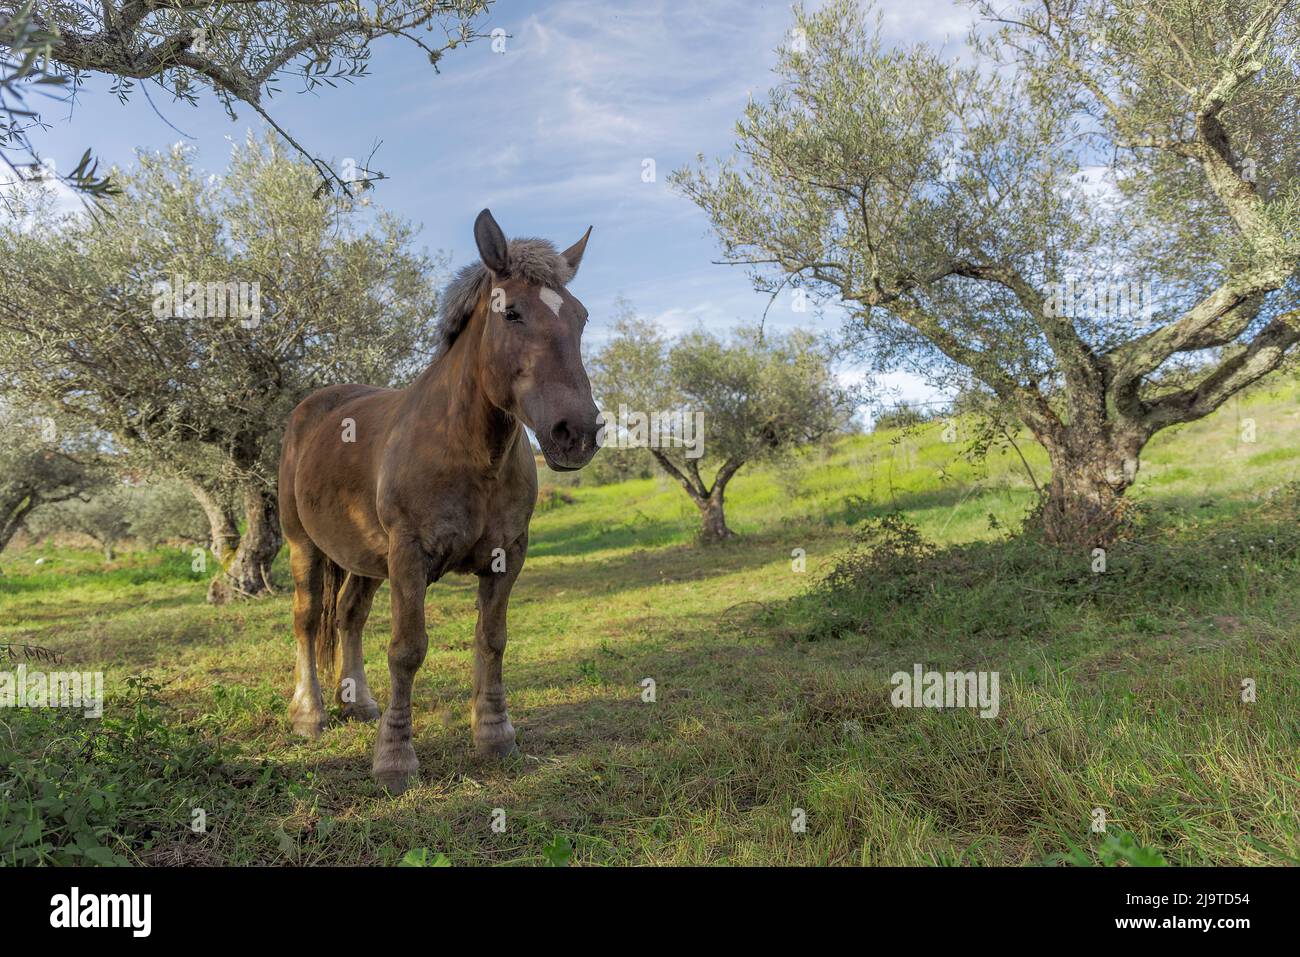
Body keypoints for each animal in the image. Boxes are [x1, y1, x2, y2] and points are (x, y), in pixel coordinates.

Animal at [279, 209, 598, 790]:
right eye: (511, 313)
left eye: (580, 318)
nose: (577, 433)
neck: (468, 451)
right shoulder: (409, 556)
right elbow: (407, 651)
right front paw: (394, 760)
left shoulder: (507, 556)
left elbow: (492, 640)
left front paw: (495, 737)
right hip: (303, 546)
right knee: (309, 619)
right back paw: (309, 714)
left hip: (364, 558)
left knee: (348, 617)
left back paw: (357, 703)